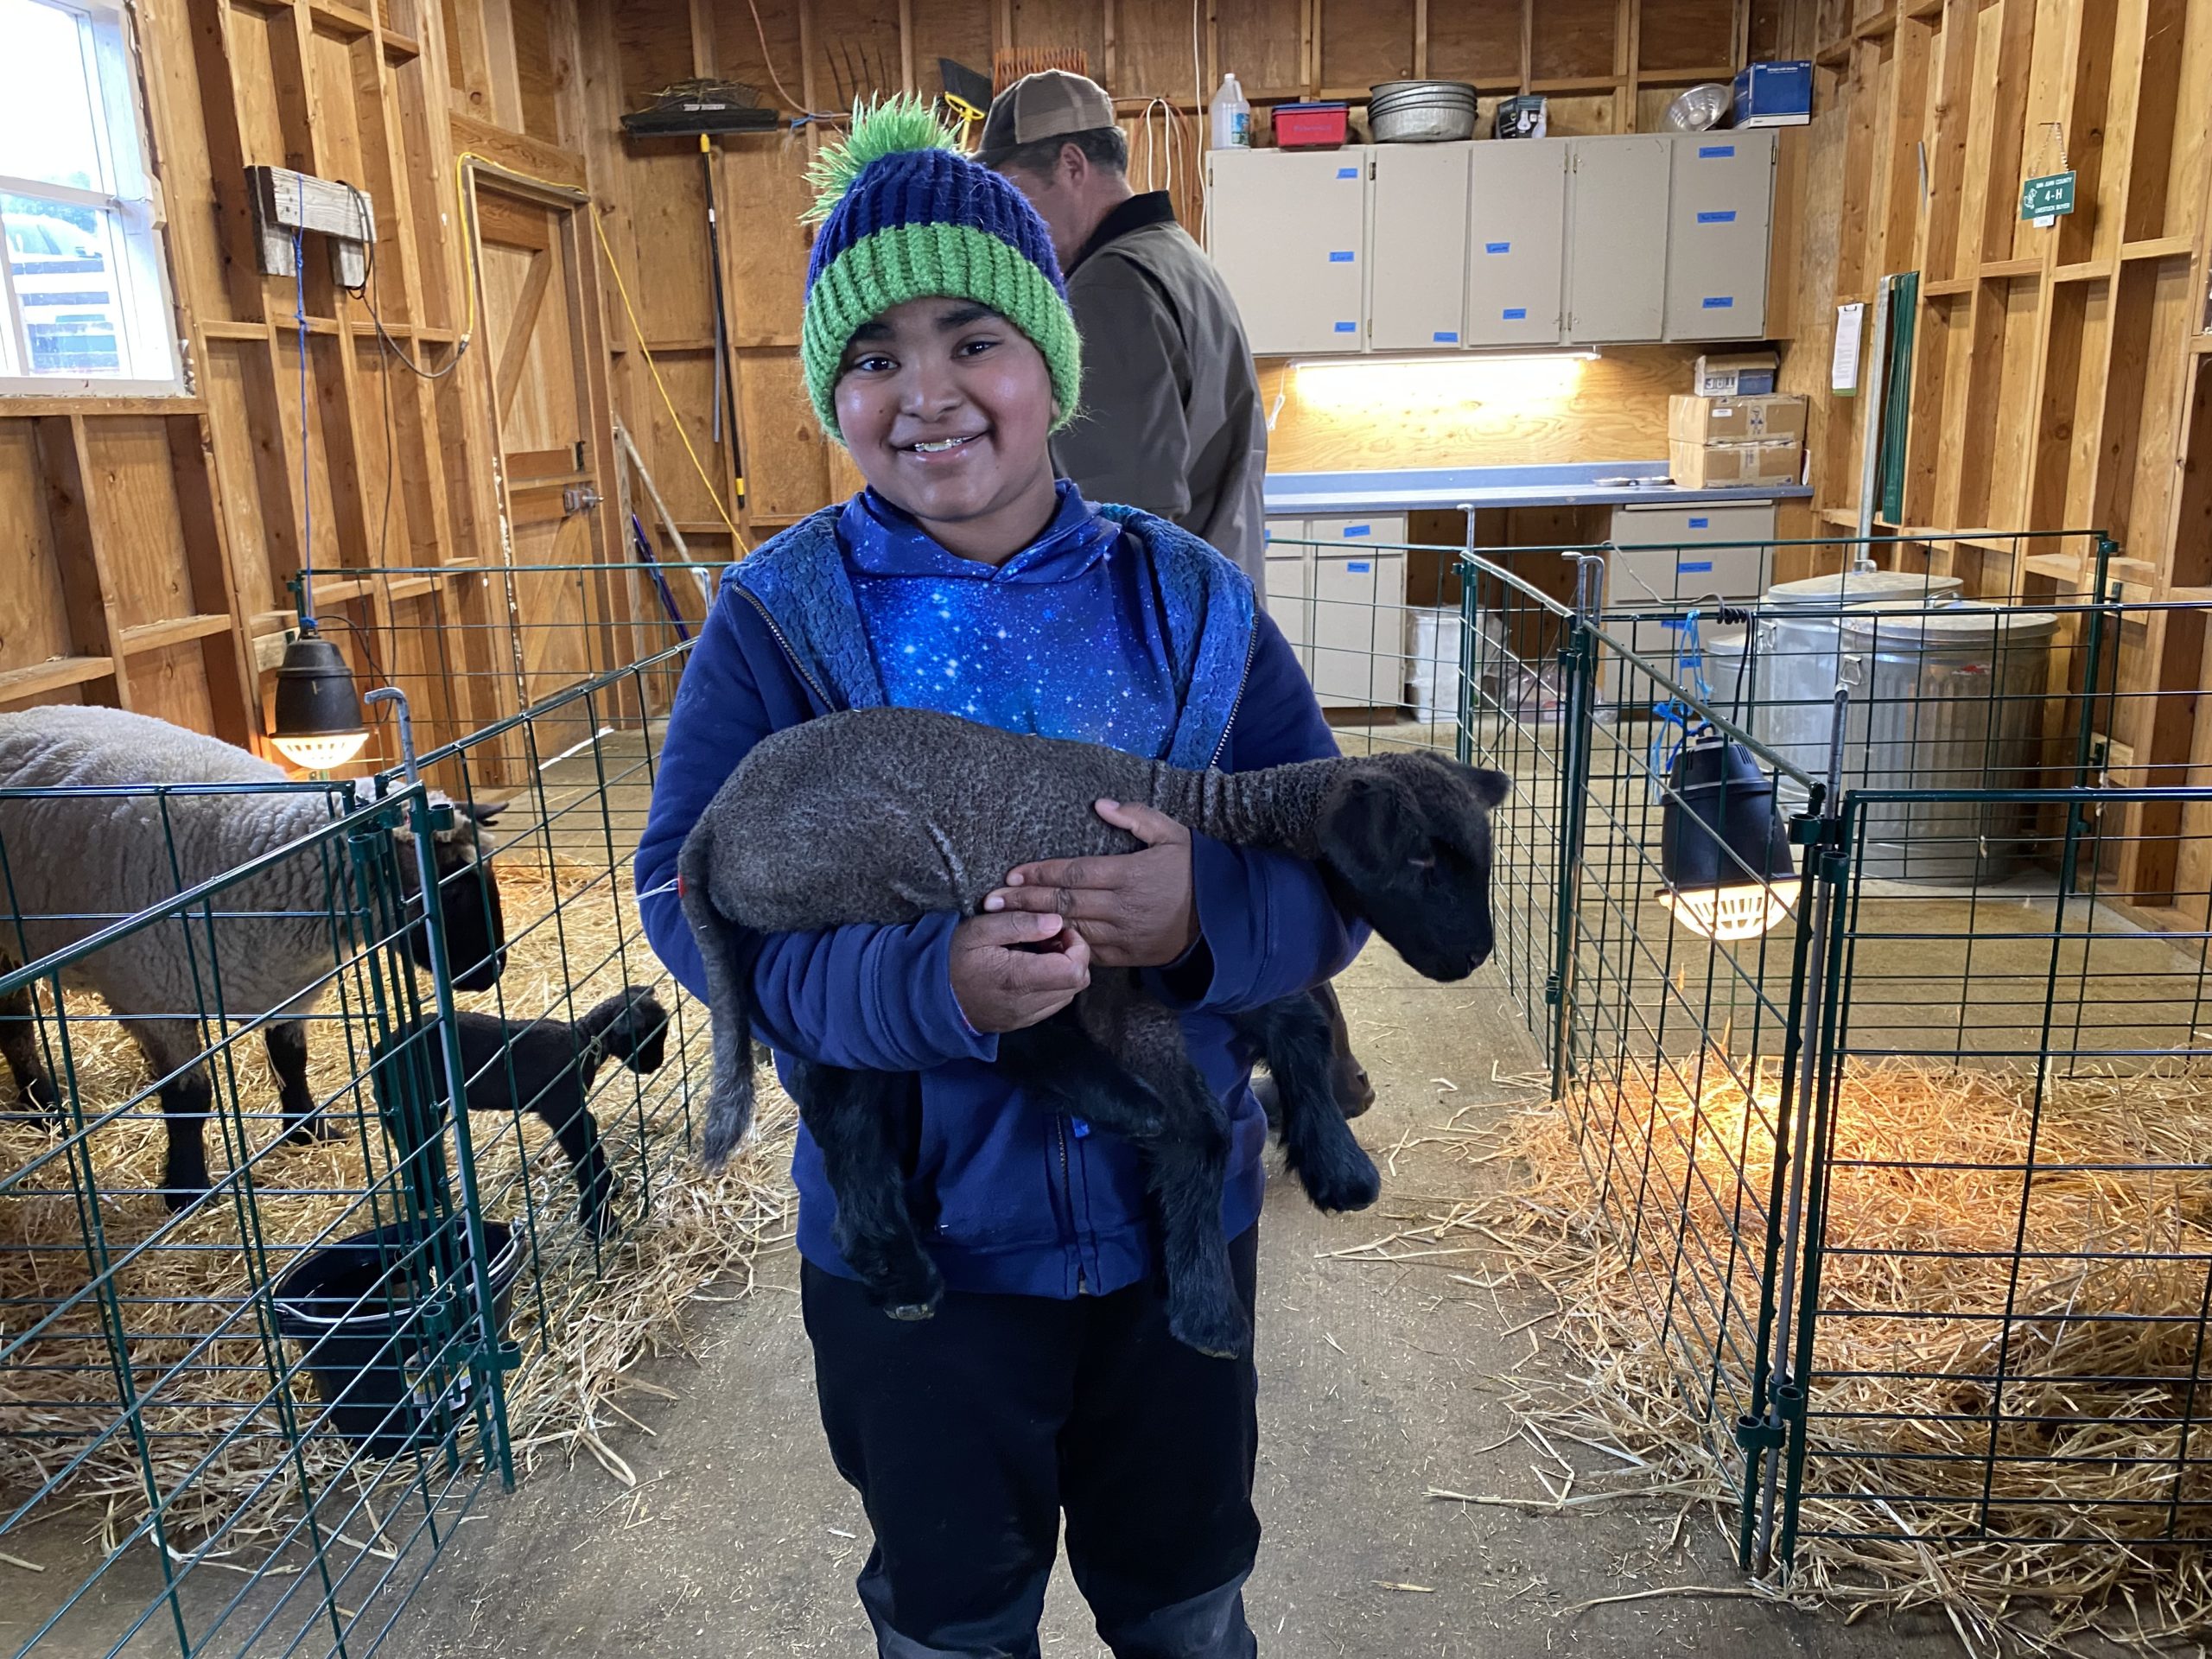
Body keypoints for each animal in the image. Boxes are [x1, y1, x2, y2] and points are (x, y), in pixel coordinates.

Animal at [0, 705, 508, 1209]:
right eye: (452, 887)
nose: (494, 970)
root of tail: (20, 715)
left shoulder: (289, 989)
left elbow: (290, 1061)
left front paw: (309, 1130)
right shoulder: (157, 1002)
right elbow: (189, 1099)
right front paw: (187, 1189)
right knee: (17, 1026)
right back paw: (45, 1107)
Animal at [371, 987, 670, 1240]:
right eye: (648, 1035)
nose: (656, 1064)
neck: (587, 1039)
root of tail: (380, 1054)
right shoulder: (564, 1110)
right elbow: (586, 1155)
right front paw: (599, 1220)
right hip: (414, 1107)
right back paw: (429, 1203)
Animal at [678, 705, 1508, 1359]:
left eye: (1484, 859)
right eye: (1420, 859)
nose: (1474, 956)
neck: (1203, 814)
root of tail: (711, 826)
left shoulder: (1167, 965)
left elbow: (1276, 1042)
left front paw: (1336, 1170)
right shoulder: (1109, 972)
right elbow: (1204, 1121)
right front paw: (1212, 1316)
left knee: (846, 1087)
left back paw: (899, 1273)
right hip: (880, 876)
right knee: (935, 1046)